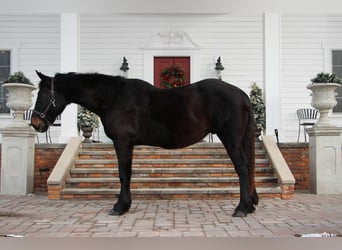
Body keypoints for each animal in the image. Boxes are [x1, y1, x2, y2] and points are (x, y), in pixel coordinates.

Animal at [31, 71, 256, 217]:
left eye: (43, 94)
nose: (35, 123)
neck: (112, 98)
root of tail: (242, 95)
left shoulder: (122, 142)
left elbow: (123, 174)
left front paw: (120, 207)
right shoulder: (127, 143)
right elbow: (127, 174)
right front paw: (124, 205)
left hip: (231, 140)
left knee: (243, 168)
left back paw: (241, 208)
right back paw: (250, 205)